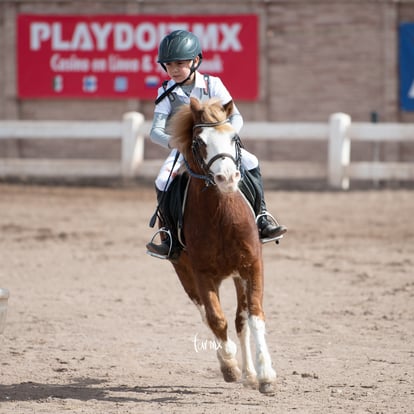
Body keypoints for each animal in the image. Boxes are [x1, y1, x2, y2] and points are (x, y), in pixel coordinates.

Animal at [167, 97, 276, 394]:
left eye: (234, 138)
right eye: (199, 142)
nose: (227, 178)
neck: (221, 215)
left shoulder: (252, 266)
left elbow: (254, 316)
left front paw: (265, 375)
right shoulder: (201, 274)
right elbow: (216, 319)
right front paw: (229, 365)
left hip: (238, 275)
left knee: (241, 320)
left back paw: (250, 374)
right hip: (185, 273)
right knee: (208, 316)